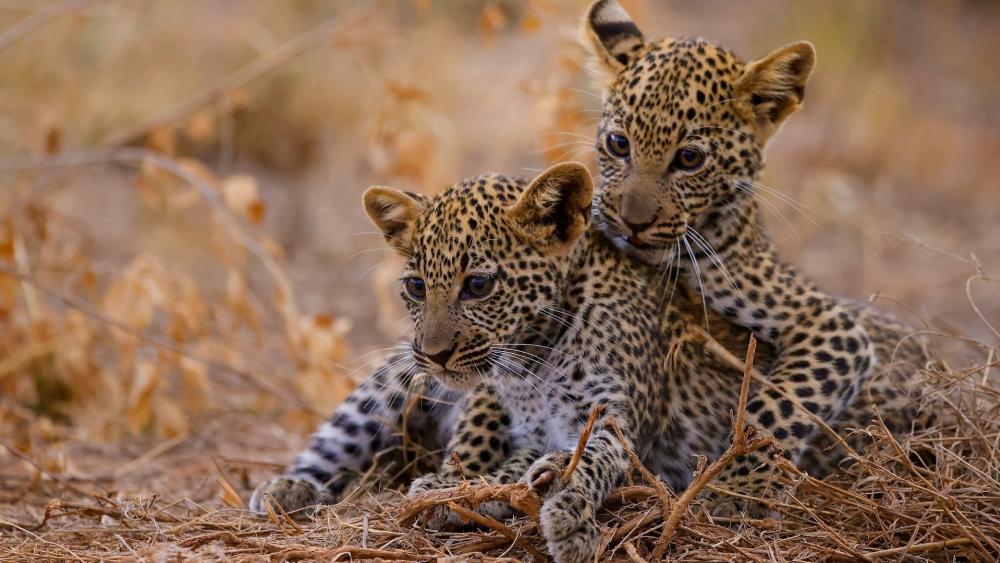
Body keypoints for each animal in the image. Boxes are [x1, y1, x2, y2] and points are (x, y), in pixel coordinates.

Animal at [580, 0, 932, 505]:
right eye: (618, 144)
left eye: (690, 159)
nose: (633, 222)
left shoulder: (831, 324)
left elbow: (780, 404)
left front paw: (738, 487)